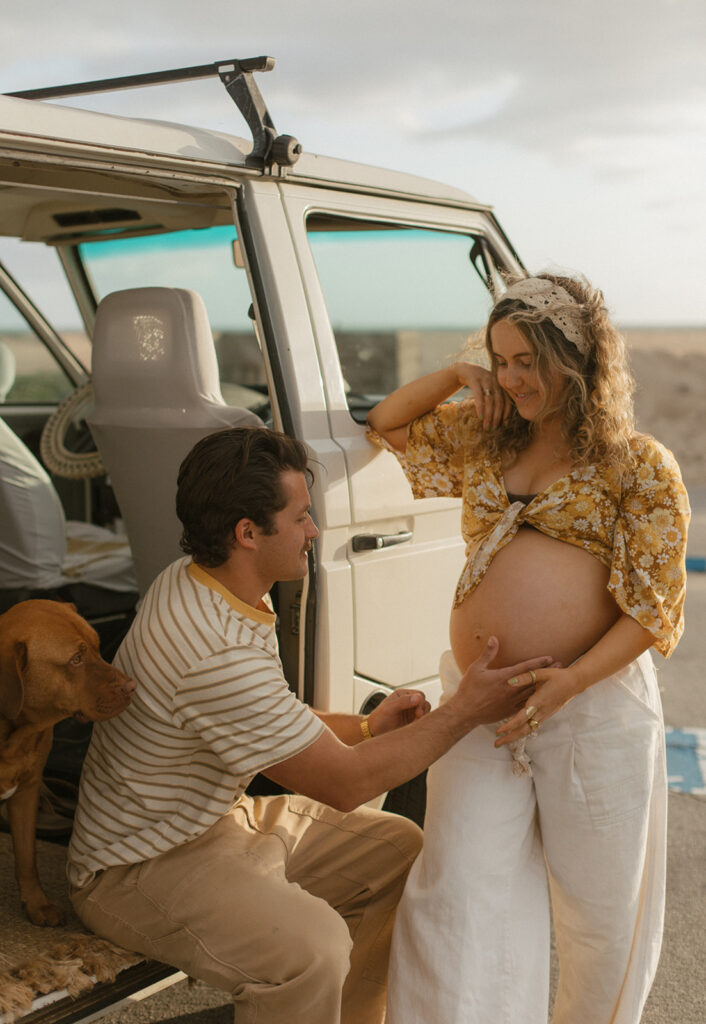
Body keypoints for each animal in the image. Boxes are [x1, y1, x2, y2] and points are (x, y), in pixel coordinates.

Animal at [0, 598, 135, 929]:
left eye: (98, 647)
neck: (13, 733)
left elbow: (27, 857)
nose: (131, 686)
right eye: (75, 659)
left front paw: (36, 904)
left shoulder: (27, 791)